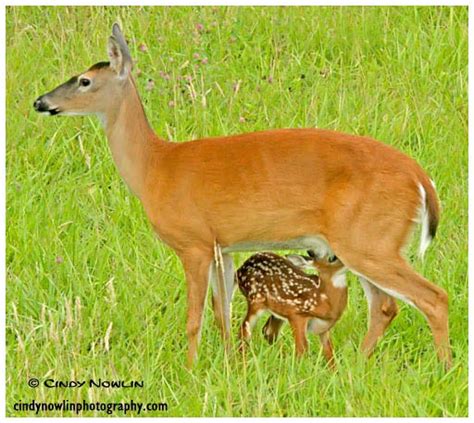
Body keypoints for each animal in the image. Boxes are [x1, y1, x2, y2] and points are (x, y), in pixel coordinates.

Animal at [34, 23, 452, 370]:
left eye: (84, 81)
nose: (41, 102)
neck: (155, 168)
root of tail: (420, 178)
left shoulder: (194, 242)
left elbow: (195, 317)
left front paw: (190, 370)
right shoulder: (225, 246)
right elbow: (222, 311)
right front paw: (231, 363)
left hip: (369, 240)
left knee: (432, 297)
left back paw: (443, 368)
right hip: (364, 242)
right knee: (385, 306)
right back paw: (356, 367)